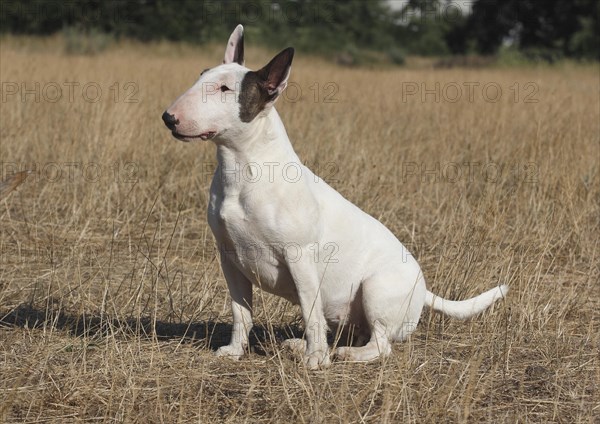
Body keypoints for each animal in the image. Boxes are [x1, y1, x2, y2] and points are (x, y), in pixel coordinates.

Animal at [163, 24, 506, 368]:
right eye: (201, 75)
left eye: (224, 88)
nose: (169, 117)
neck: (244, 167)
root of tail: (424, 290)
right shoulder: (229, 258)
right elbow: (240, 312)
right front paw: (235, 351)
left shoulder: (300, 257)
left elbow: (310, 311)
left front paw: (317, 359)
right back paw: (299, 345)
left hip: (375, 288)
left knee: (381, 343)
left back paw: (344, 353)